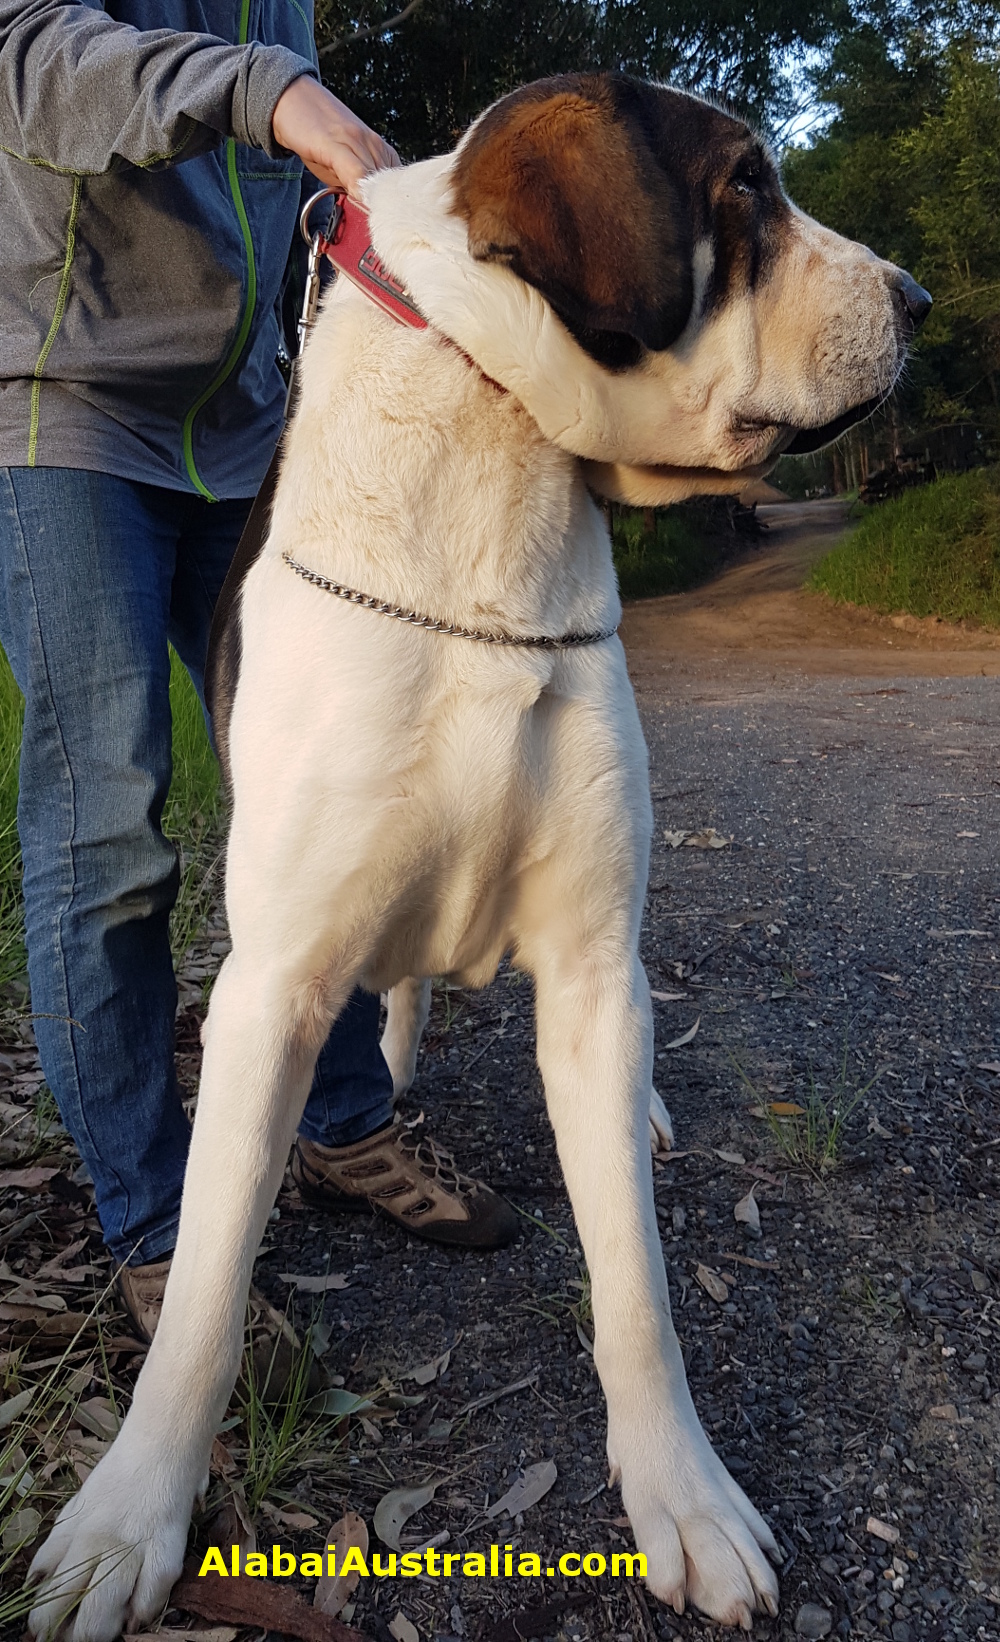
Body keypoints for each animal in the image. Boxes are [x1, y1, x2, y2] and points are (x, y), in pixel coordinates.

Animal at [25, 70, 926, 1635]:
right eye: (745, 184)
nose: (922, 299)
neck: (488, 485)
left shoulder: (587, 954)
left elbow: (635, 1282)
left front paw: (685, 1495)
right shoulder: (270, 982)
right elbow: (201, 1295)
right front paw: (127, 1516)